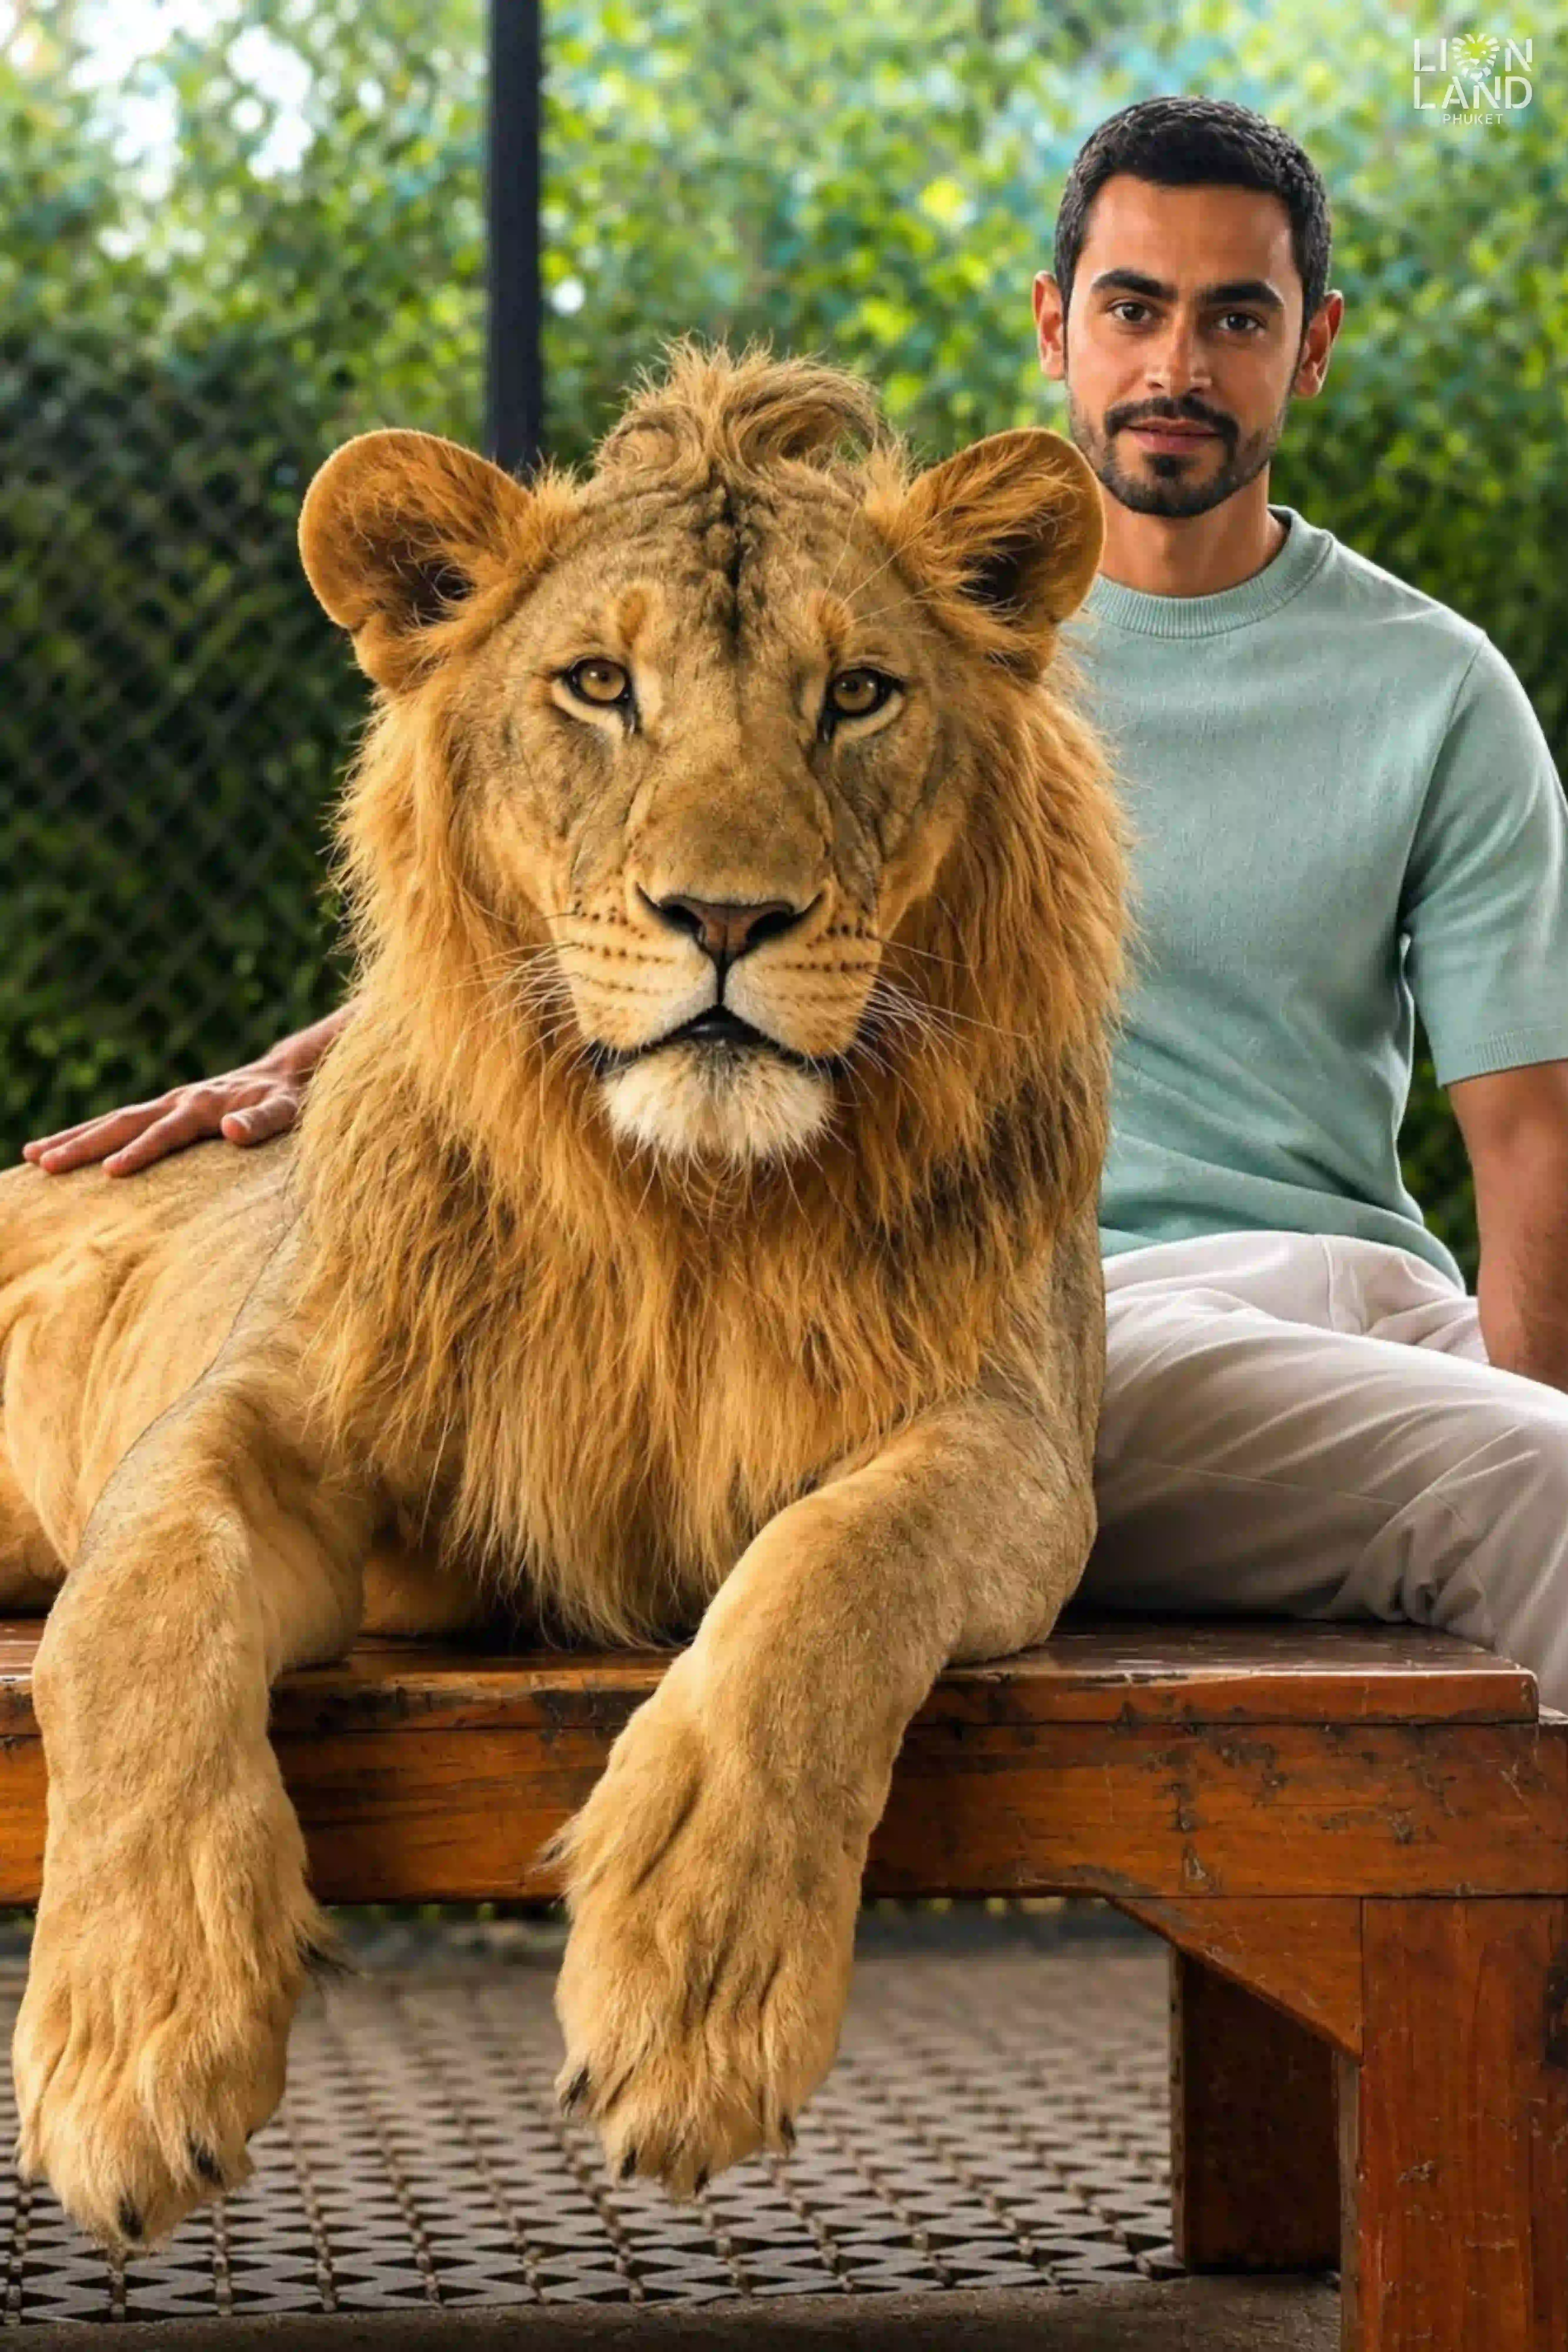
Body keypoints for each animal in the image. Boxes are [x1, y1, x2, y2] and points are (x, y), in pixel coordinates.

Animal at [0, 339, 1127, 2254]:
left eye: (858, 694)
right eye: (600, 685)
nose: (727, 917)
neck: (687, 1212)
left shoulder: (1011, 1447)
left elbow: (831, 1573)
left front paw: (697, 1977)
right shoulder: (271, 1418)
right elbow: (139, 1614)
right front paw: (138, 2035)